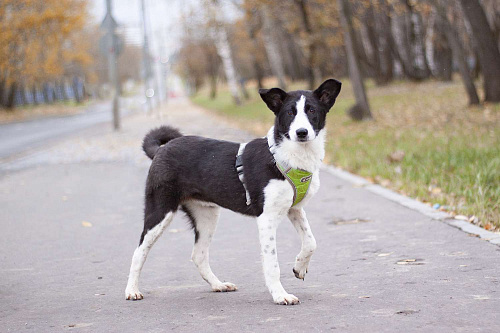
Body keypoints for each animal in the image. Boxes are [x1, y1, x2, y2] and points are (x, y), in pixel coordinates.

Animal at [125, 78, 342, 304]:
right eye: (290, 112)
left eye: (312, 110)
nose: (301, 133)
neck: (287, 156)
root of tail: (161, 149)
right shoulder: (266, 218)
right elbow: (272, 263)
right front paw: (280, 295)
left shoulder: (294, 209)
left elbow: (311, 242)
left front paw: (299, 267)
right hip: (160, 211)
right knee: (139, 252)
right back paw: (132, 290)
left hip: (206, 215)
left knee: (198, 254)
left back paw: (218, 285)